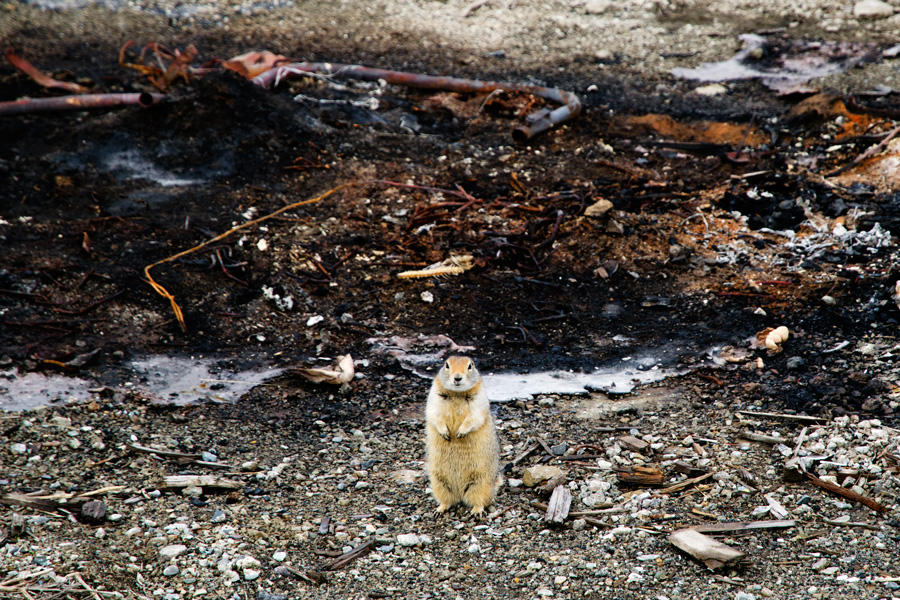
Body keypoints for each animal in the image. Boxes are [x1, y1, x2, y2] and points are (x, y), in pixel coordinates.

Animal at [426, 356, 502, 516]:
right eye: (446, 364)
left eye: (470, 365)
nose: (457, 378)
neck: (457, 393)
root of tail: (460, 493)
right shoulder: (434, 399)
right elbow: (434, 415)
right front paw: (445, 433)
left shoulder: (478, 403)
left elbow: (473, 418)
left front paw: (460, 432)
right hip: (439, 482)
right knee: (448, 500)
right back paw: (440, 509)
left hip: (480, 483)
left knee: (480, 500)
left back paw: (476, 511)